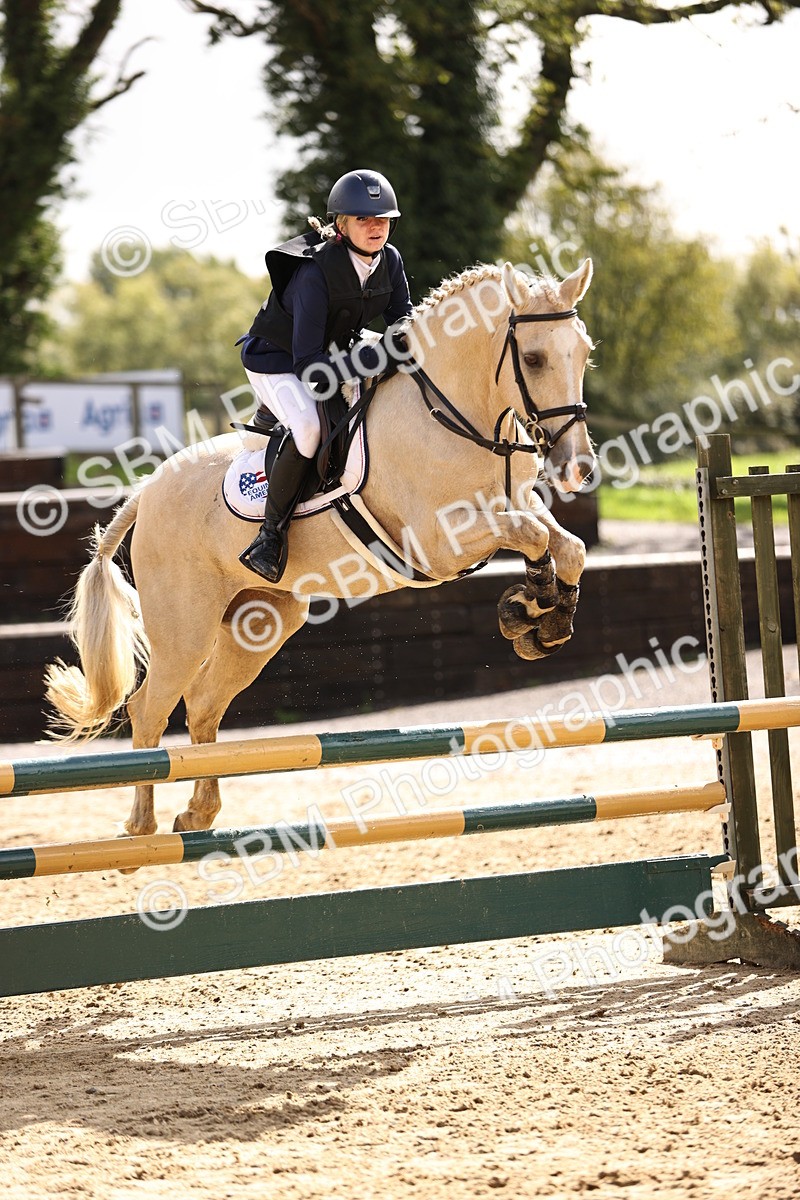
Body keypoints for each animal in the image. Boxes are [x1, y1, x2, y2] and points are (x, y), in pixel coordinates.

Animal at [45, 258, 596, 838]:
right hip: (184, 629)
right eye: (532, 359)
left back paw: (197, 813)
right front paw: (528, 608)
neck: (456, 416)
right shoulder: (436, 541)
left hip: (260, 622)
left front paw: (543, 621)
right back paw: (142, 825)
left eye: (583, 351)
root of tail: (147, 490)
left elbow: (568, 545)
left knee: (203, 704)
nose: (577, 468)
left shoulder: (515, 504)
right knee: (150, 708)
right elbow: (535, 537)